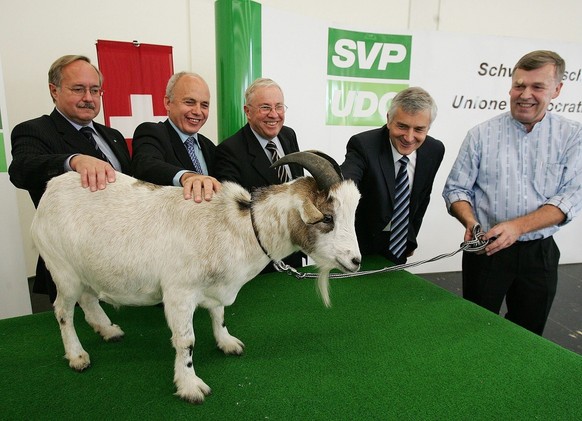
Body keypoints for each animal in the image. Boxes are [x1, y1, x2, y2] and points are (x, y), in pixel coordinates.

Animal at [32, 151, 362, 404]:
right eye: (328, 217)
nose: (356, 261)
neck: (242, 226)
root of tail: (51, 188)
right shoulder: (179, 293)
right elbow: (186, 341)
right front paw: (190, 385)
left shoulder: (216, 288)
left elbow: (219, 314)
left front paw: (227, 343)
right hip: (63, 270)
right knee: (63, 311)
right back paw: (77, 356)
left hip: (86, 269)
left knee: (88, 299)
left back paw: (108, 330)